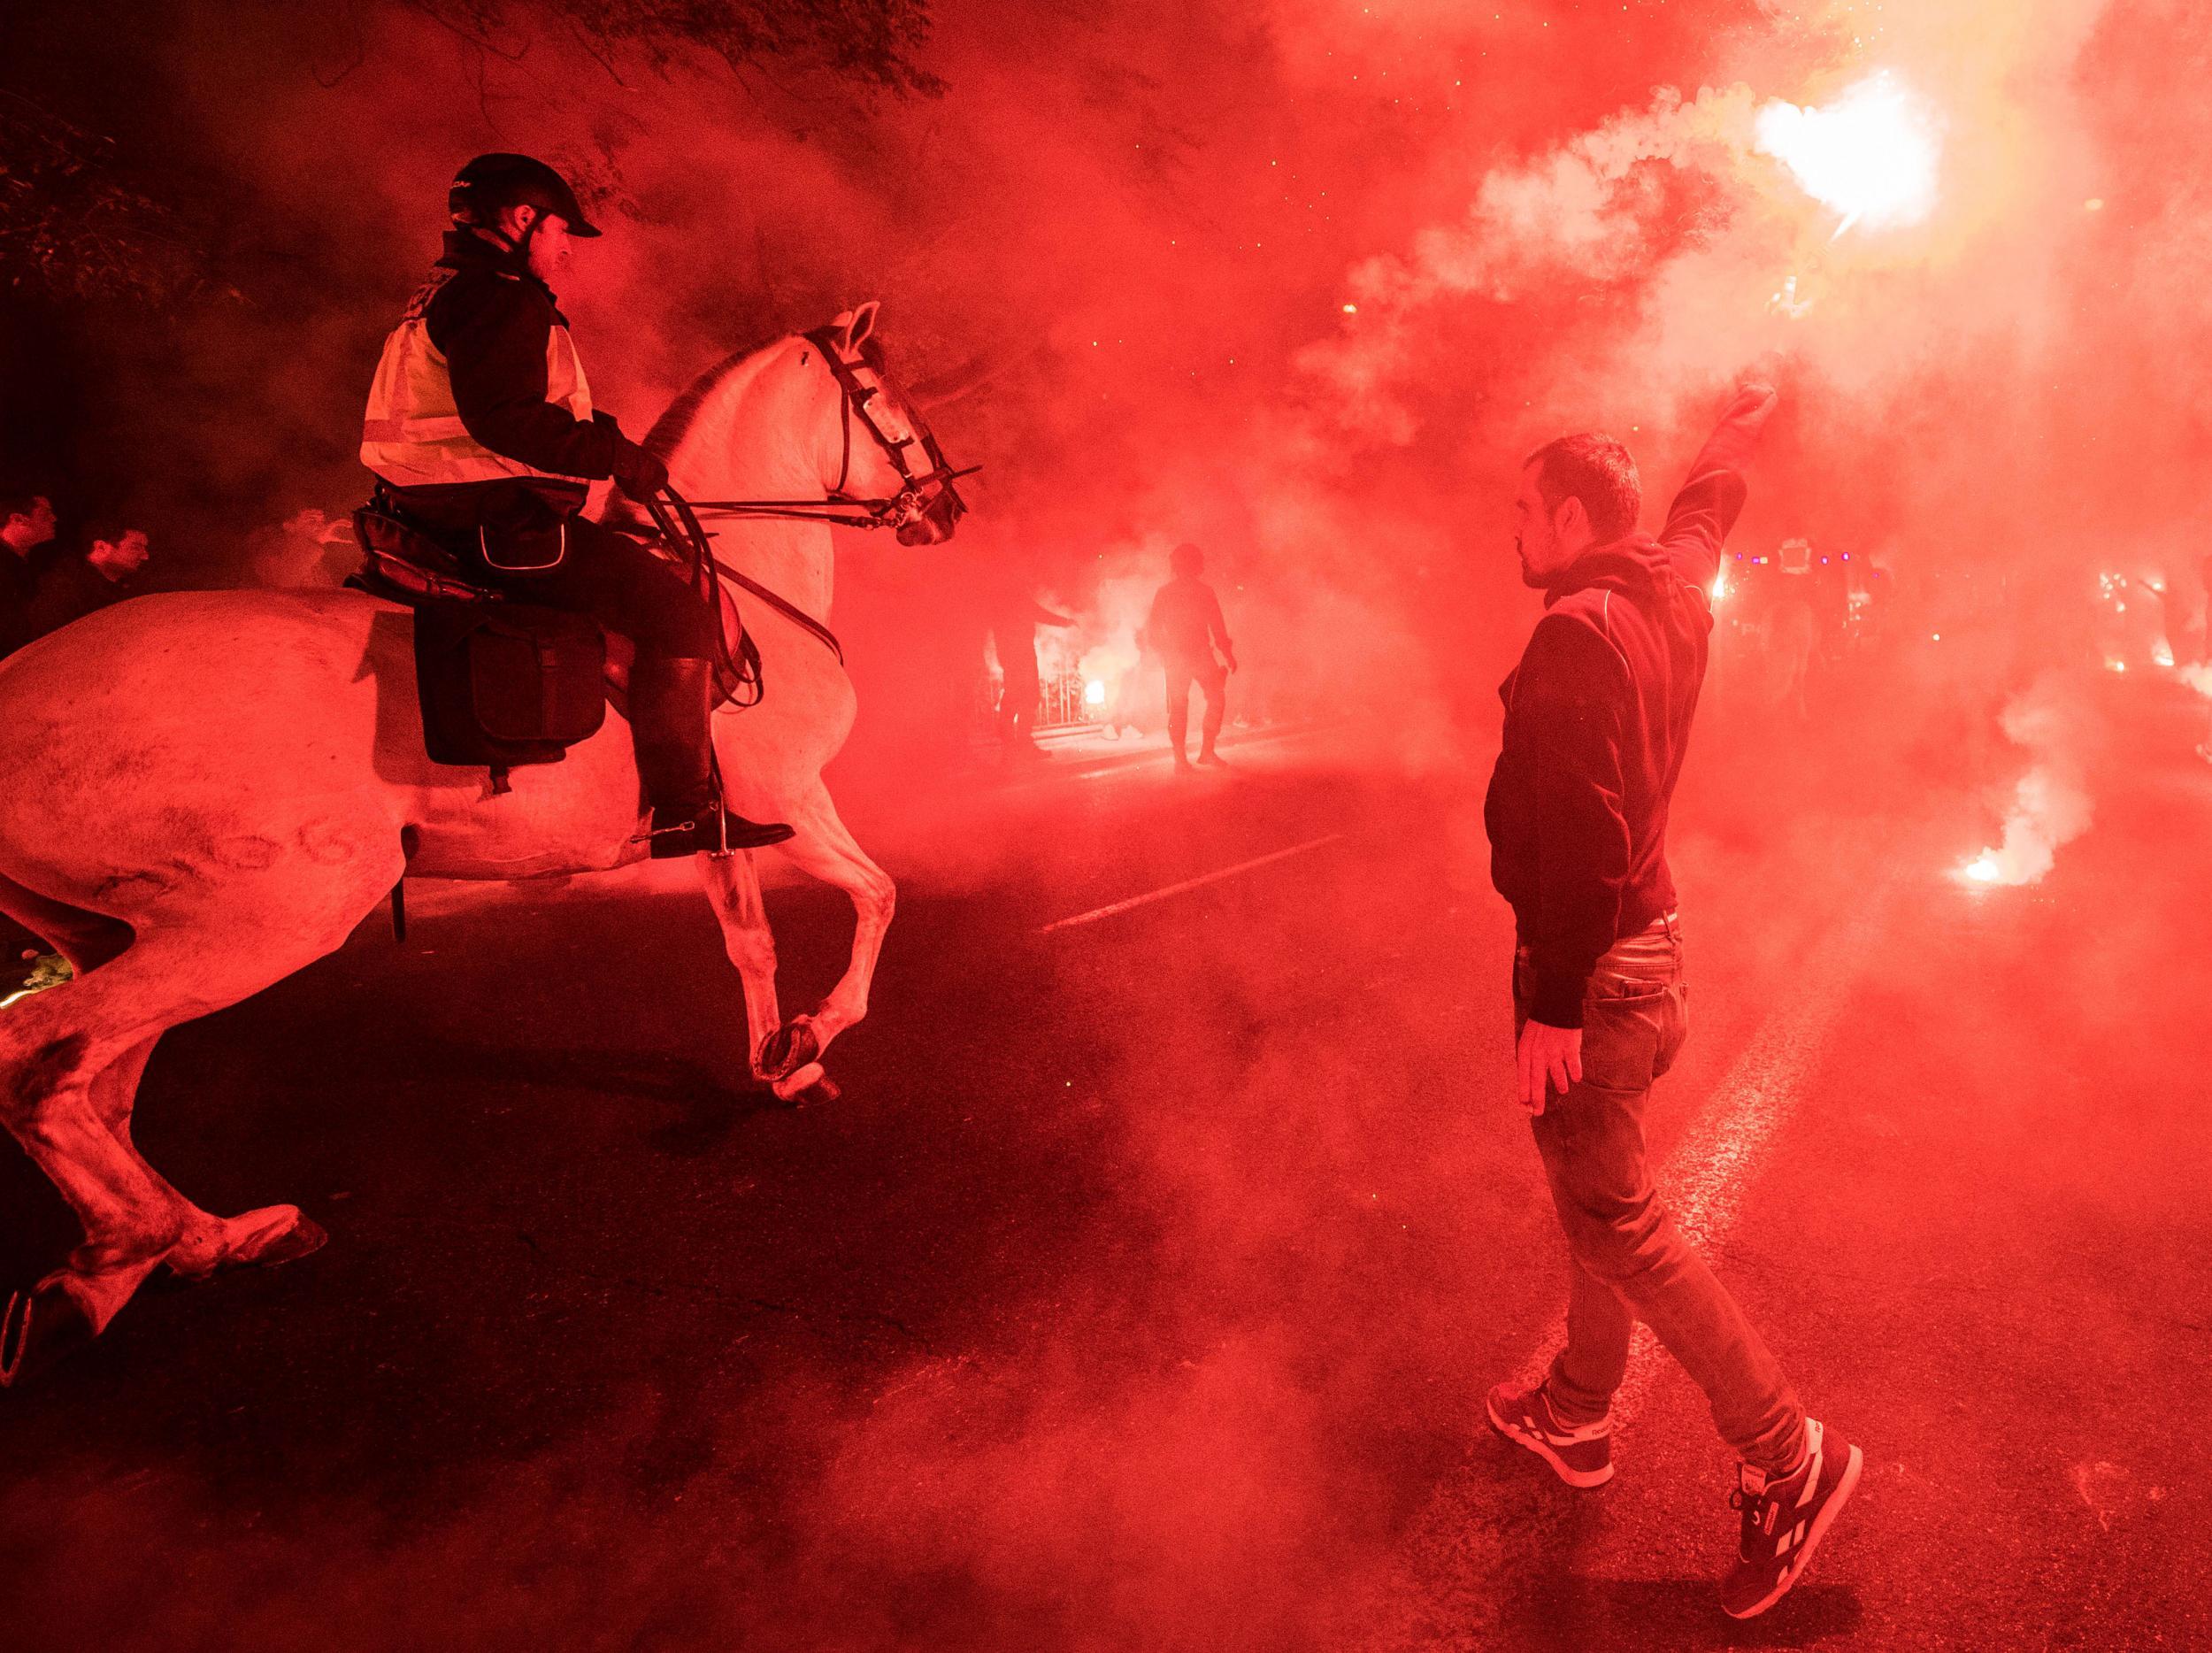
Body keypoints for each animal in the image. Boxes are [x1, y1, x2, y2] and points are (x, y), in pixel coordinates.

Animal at [2, 301, 969, 1380]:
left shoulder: (726, 818)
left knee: (97, 1086)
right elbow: (878, 895)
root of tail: (19, 677)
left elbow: (750, 942)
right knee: (41, 1058)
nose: (943, 507)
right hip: (264, 919)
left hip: (119, 932)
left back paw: (199, 1240)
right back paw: (138, 1245)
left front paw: (781, 1059)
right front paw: (813, 1029)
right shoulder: (795, 796)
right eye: (880, 393)